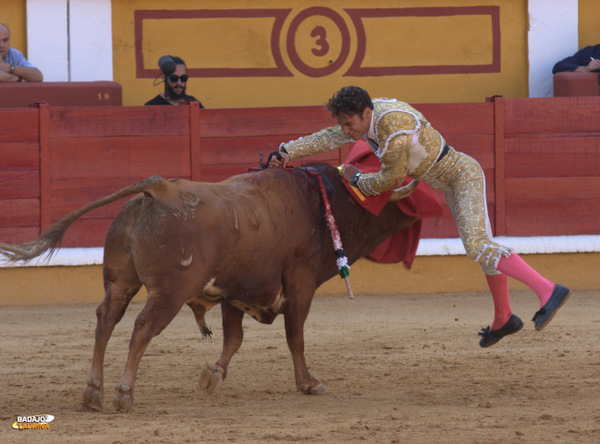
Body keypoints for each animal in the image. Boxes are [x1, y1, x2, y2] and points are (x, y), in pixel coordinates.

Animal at [0, 165, 420, 412]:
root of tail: (158, 189)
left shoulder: (235, 291)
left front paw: (212, 376)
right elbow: (295, 337)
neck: (320, 203)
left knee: (106, 319)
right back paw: (123, 394)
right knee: (142, 328)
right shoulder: (300, 286)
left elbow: (233, 339)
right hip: (168, 293)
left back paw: (93, 393)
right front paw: (309, 383)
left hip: (120, 282)